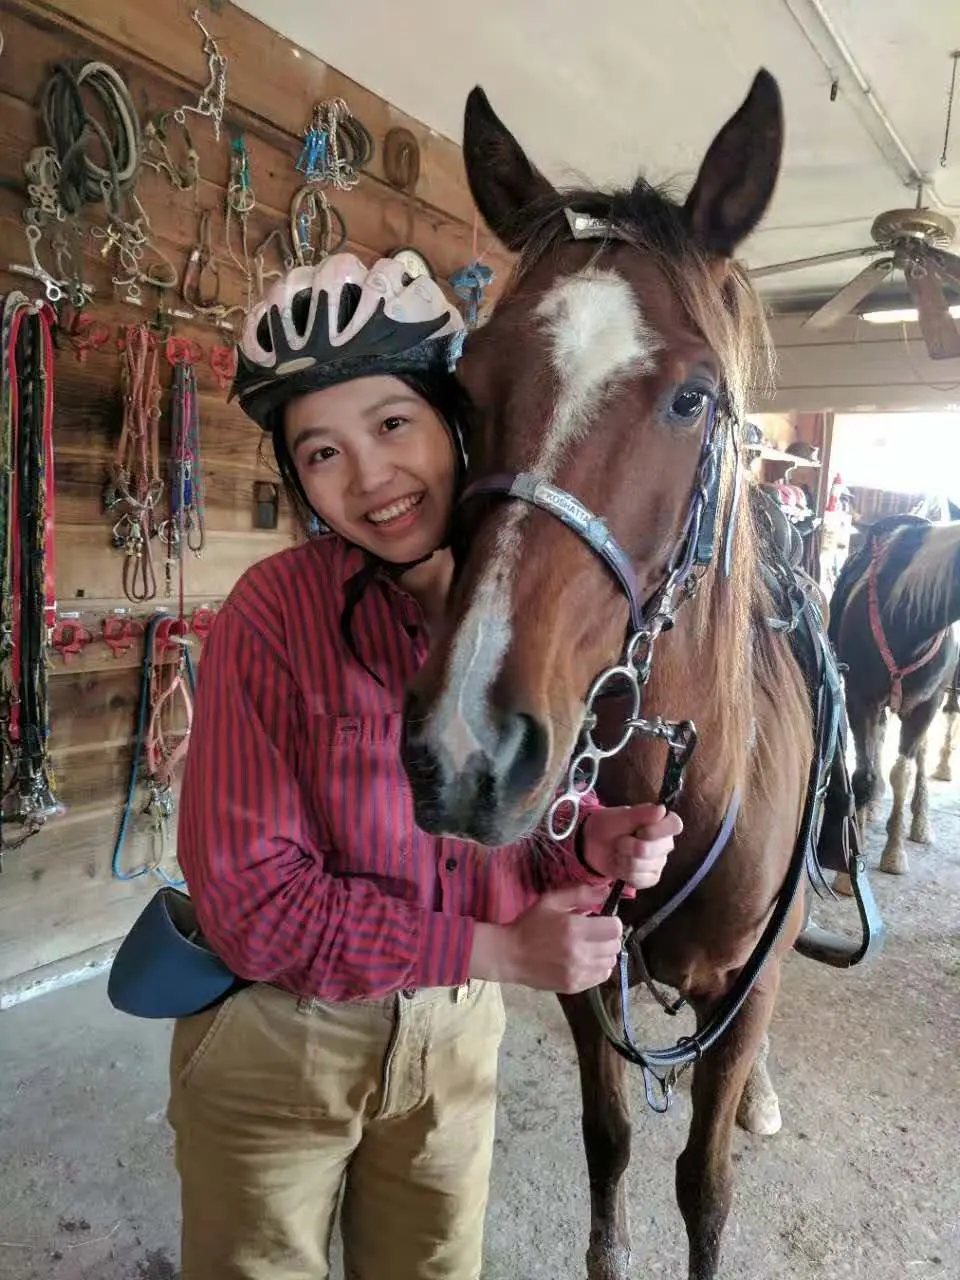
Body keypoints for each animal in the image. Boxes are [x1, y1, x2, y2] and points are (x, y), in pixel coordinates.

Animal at [401, 70, 835, 1280]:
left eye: (693, 398)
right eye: (466, 385)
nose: (465, 749)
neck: (679, 779)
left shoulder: (747, 989)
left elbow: (704, 1186)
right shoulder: (588, 972)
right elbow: (608, 1140)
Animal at [828, 513, 960, 882]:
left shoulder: (926, 706)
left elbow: (902, 772)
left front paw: (894, 852)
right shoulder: (860, 699)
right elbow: (865, 773)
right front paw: (848, 871)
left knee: (920, 754)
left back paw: (920, 821)